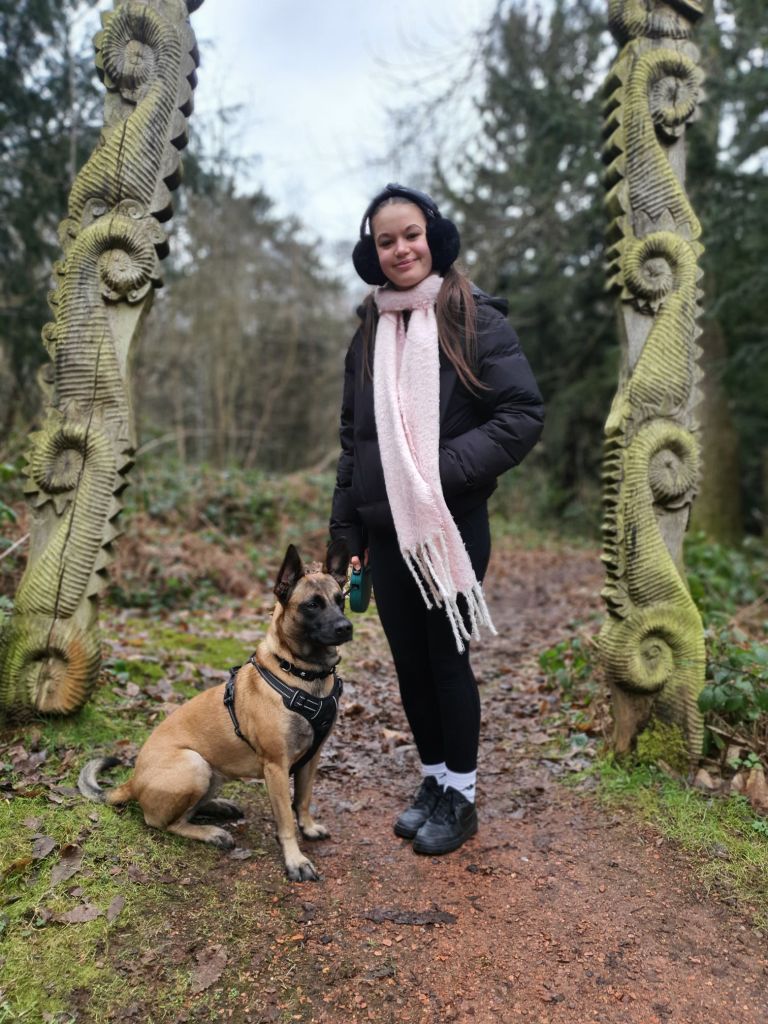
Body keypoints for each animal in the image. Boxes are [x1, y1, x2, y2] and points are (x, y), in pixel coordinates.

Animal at [78, 540, 352, 882]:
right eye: (312, 605)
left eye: (340, 600)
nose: (346, 628)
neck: (303, 675)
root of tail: (133, 781)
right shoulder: (276, 767)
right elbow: (286, 820)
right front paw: (295, 859)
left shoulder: (310, 759)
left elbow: (302, 801)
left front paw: (309, 827)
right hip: (193, 764)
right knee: (164, 822)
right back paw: (211, 832)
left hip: (210, 772)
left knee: (189, 809)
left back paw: (219, 807)